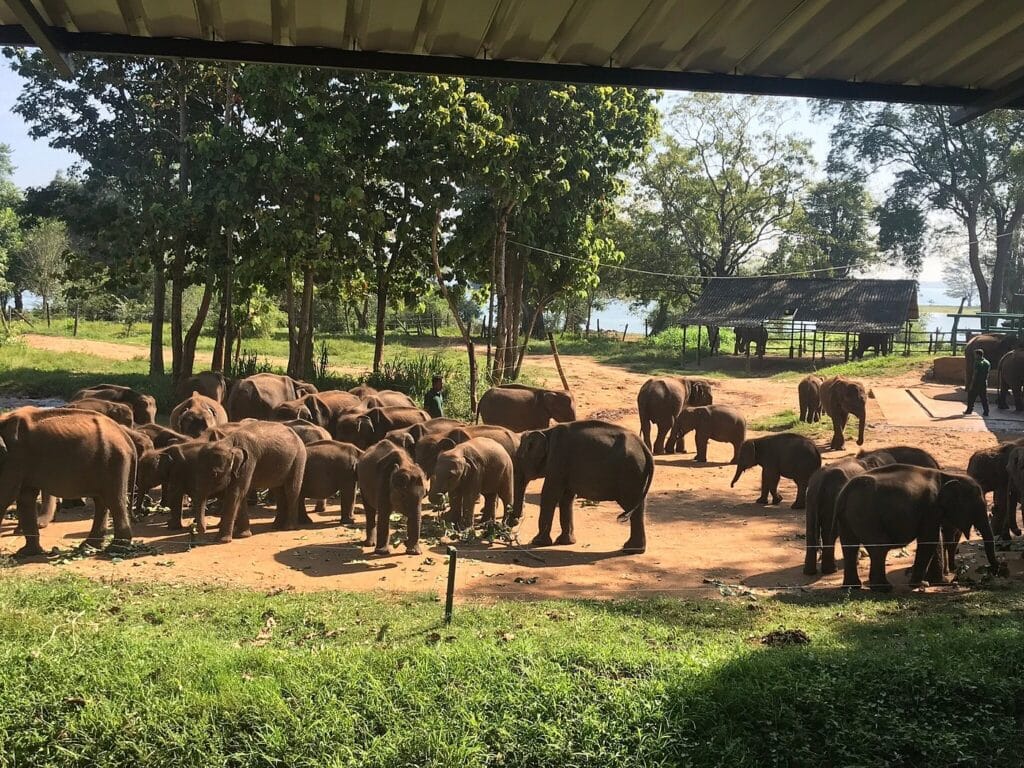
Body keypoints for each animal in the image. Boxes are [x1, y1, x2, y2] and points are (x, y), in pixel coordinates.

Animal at [0, 407, 136, 556]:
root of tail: (125, 435)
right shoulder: (19, 461)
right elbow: (25, 498)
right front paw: (27, 553)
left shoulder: (14, 459)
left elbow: (6, 496)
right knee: (101, 500)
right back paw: (89, 546)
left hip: (113, 460)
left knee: (114, 500)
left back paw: (116, 548)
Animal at [513, 420, 653, 554]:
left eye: (519, 457)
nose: (513, 525)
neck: (546, 431)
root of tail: (644, 448)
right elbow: (566, 498)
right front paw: (566, 542)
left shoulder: (558, 460)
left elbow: (550, 494)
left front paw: (537, 542)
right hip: (637, 475)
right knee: (637, 508)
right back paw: (633, 549)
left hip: (630, 473)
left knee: (631, 505)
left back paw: (630, 549)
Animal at [836, 465, 1000, 591]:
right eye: (977, 507)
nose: (995, 571)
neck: (946, 476)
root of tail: (846, 490)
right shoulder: (930, 507)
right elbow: (930, 539)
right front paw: (919, 584)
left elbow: (934, 540)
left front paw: (938, 582)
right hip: (866, 514)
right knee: (879, 546)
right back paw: (883, 588)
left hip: (848, 517)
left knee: (849, 546)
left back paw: (852, 587)